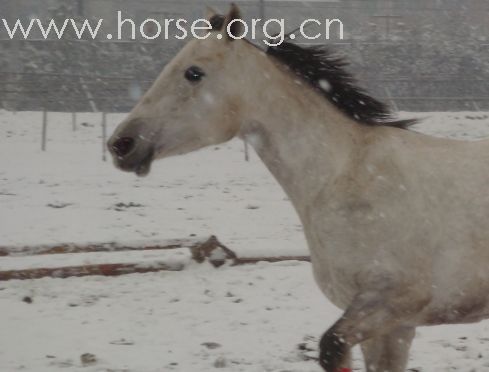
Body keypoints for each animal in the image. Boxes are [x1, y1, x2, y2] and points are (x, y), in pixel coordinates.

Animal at [108, 4, 488, 370]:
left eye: (193, 72)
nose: (120, 144)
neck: (348, 176)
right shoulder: (392, 328)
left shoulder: (394, 303)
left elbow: (331, 347)